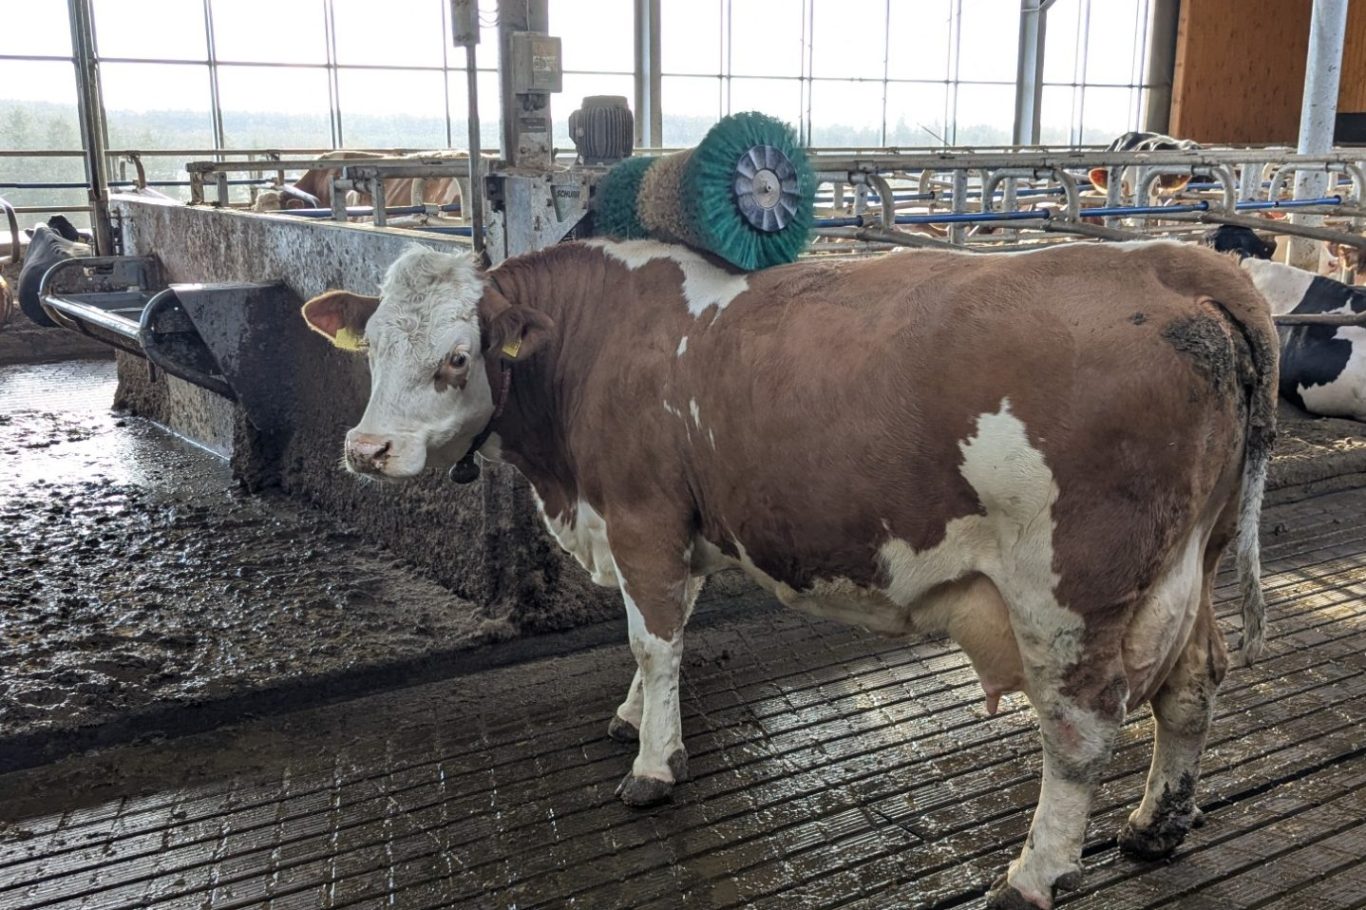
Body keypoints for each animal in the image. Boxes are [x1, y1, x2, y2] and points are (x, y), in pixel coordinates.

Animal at [301, 237, 1278, 901]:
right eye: (373, 346)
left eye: (457, 355)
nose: (366, 449)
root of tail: (1174, 262)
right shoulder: (673, 528)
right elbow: (661, 630)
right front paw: (634, 718)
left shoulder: (644, 518)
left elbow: (655, 639)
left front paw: (654, 765)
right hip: (1193, 558)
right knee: (1194, 682)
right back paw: (1157, 823)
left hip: (1069, 591)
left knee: (1080, 730)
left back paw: (1033, 874)